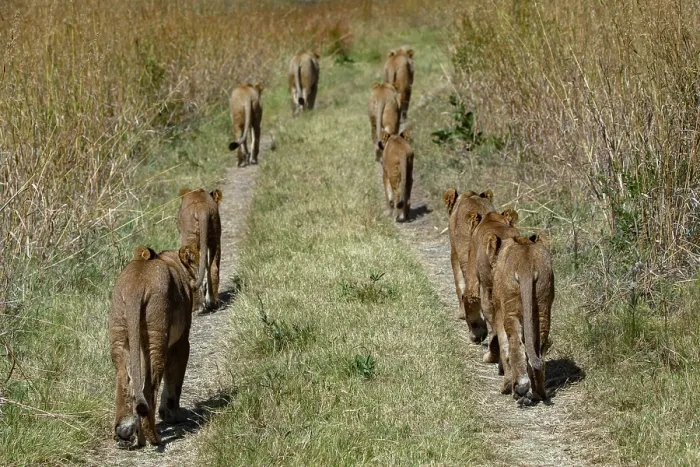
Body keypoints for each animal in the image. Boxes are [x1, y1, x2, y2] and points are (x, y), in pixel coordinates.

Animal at [109, 244, 199, 448]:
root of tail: (135, 288)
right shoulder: (181, 342)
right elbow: (174, 381)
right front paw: (173, 415)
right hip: (157, 337)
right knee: (149, 389)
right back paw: (153, 438)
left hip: (121, 335)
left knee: (125, 382)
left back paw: (124, 434)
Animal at [441, 189, 495, 342]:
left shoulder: (454, 251)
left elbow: (458, 283)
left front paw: (461, 314)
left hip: (465, 253)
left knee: (469, 292)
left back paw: (477, 332)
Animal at [492, 235, 554, 405]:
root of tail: (526, 265)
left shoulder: (498, 312)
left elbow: (504, 348)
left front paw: (506, 386)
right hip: (543, 305)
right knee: (539, 351)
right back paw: (539, 393)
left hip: (510, 308)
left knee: (514, 345)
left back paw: (520, 390)